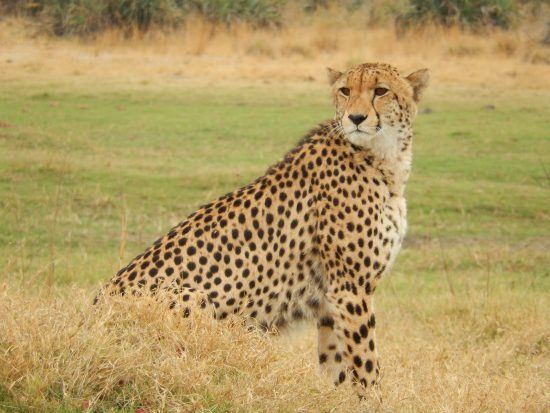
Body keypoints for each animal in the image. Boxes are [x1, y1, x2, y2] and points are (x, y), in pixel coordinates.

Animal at [100, 62, 432, 394]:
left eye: (381, 91)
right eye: (345, 90)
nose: (356, 118)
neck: (383, 158)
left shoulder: (331, 299)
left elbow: (336, 364)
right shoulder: (349, 288)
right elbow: (366, 364)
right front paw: (374, 398)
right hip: (193, 300)